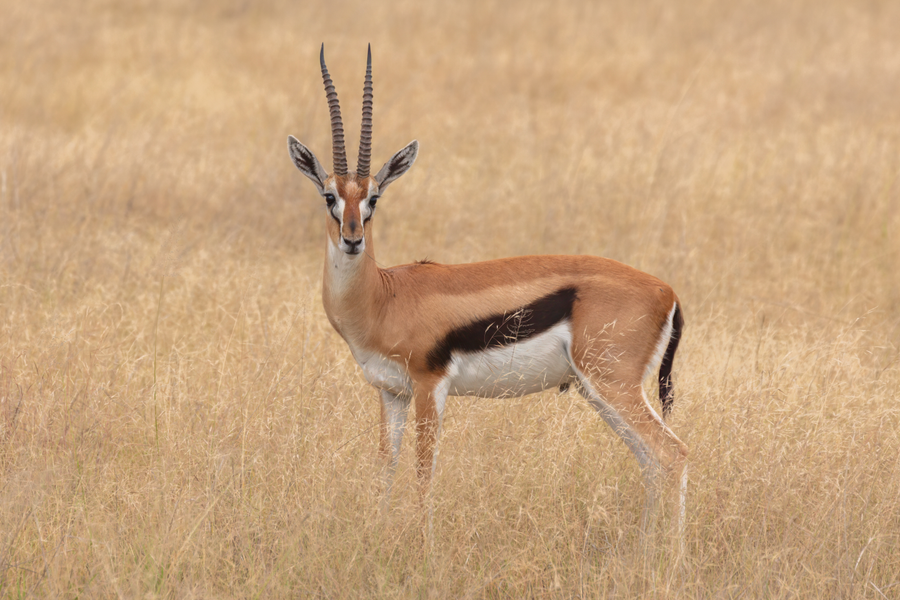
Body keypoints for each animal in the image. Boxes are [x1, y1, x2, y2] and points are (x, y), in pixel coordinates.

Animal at [287, 45, 689, 533]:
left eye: (374, 198)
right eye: (329, 196)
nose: (352, 239)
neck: (384, 297)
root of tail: (668, 293)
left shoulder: (429, 386)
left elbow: (423, 474)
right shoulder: (391, 392)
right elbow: (385, 469)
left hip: (613, 386)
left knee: (673, 454)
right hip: (601, 393)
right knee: (651, 462)